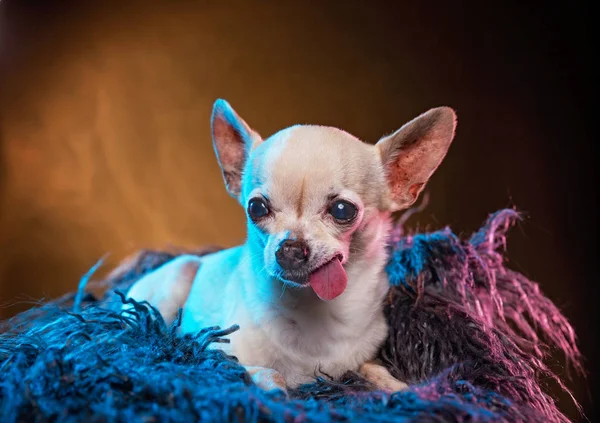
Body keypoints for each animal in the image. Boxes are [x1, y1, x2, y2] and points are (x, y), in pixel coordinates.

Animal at [123, 99, 460, 394]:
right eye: (256, 208)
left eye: (342, 210)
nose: (290, 248)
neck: (314, 312)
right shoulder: (217, 350)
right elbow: (269, 373)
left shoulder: (361, 358)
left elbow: (373, 369)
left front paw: (405, 389)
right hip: (176, 279)